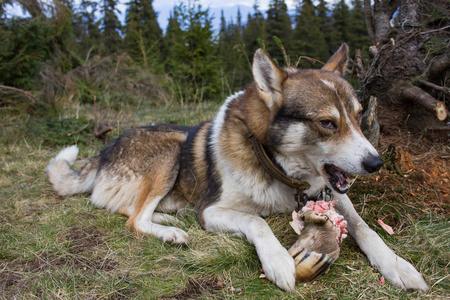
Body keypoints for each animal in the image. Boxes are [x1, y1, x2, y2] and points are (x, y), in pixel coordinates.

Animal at [46, 45, 428, 292]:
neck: (277, 167)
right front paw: (278, 261)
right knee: (134, 218)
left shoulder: (331, 194)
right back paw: (171, 232)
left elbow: (365, 228)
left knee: (131, 210)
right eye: (327, 123)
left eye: (359, 116)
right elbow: (257, 221)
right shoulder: (213, 211)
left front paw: (398, 267)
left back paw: (170, 219)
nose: (376, 163)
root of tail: (102, 153)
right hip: (171, 151)